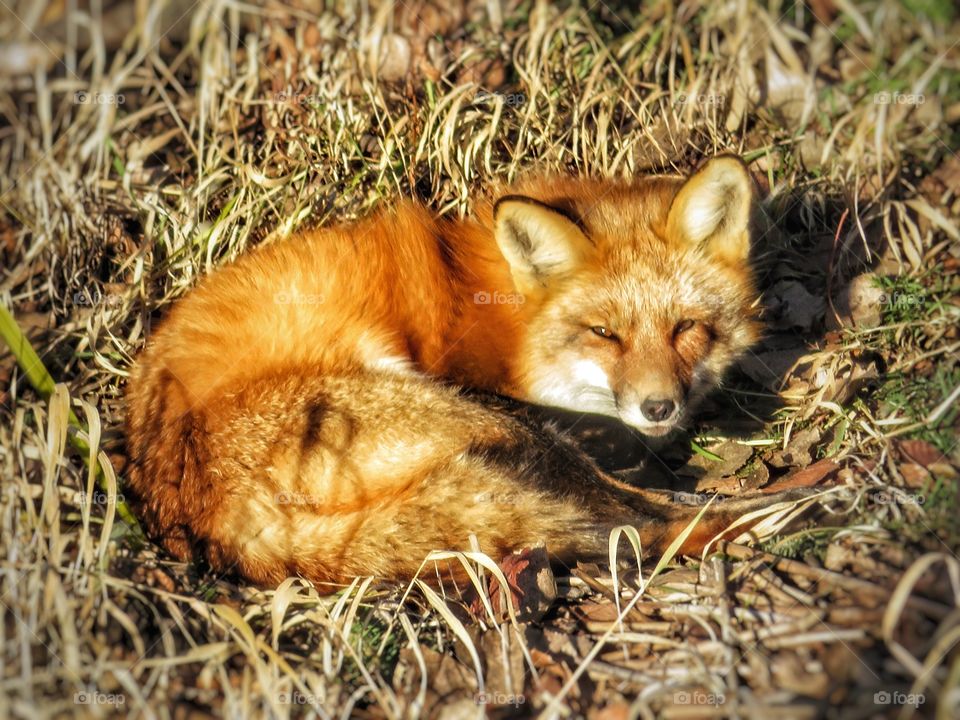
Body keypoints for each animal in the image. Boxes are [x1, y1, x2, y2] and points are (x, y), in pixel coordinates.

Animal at [125, 156, 799, 586]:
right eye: (604, 333)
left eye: (686, 328)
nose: (659, 407)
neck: (506, 317)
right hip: (471, 417)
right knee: (643, 517)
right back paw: (789, 505)